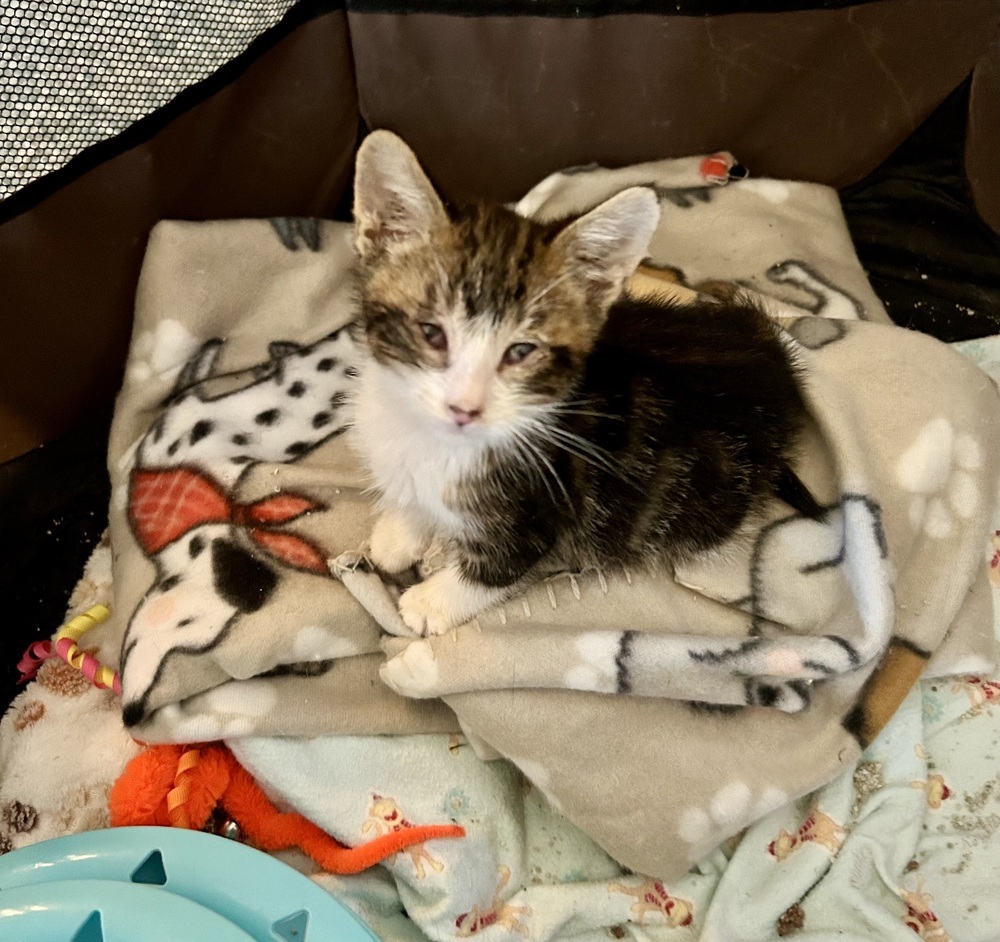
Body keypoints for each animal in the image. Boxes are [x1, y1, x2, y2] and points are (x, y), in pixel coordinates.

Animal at [348, 131, 816, 636]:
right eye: (431, 332)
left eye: (521, 351)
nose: (464, 410)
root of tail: (777, 366)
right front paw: (398, 533)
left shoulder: (539, 510)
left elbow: (498, 567)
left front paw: (430, 603)